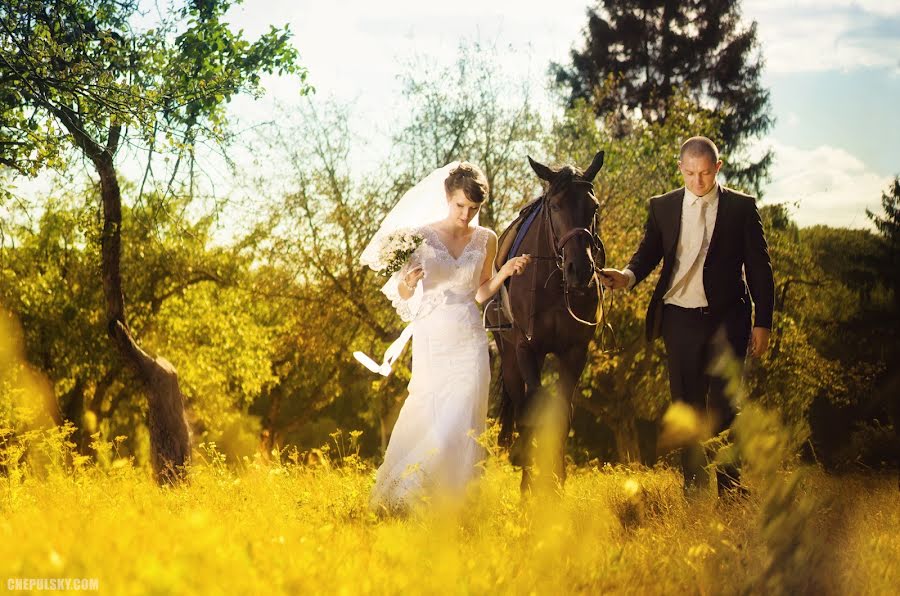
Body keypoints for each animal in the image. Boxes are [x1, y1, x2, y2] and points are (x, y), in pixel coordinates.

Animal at [488, 151, 608, 492]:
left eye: (594, 207)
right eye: (555, 207)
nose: (580, 270)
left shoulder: (575, 351)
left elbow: (562, 414)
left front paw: (556, 483)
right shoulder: (528, 349)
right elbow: (533, 411)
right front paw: (530, 487)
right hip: (510, 357)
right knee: (521, 404)